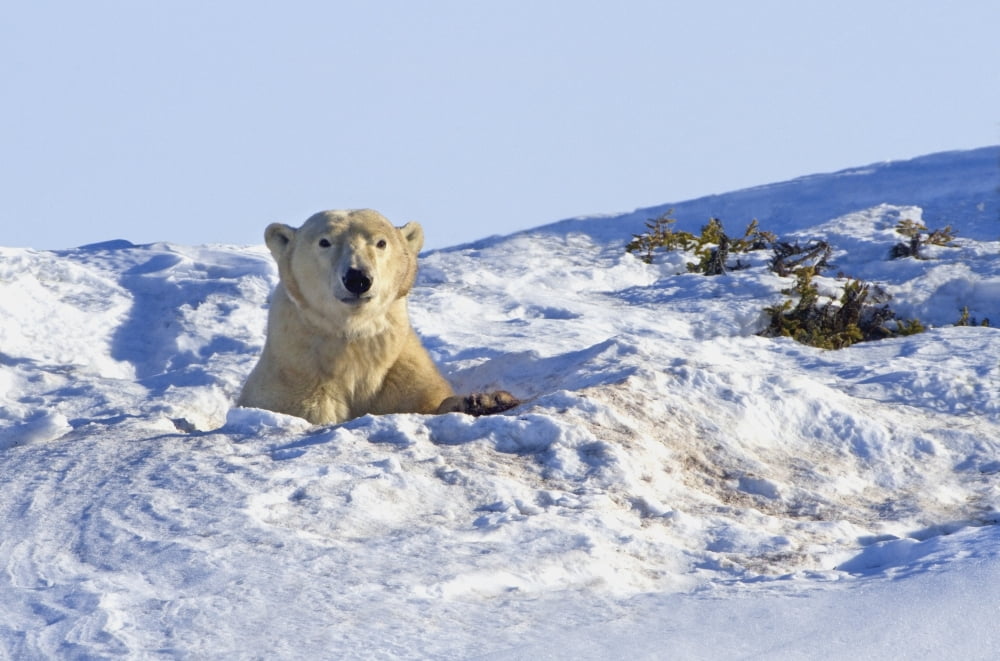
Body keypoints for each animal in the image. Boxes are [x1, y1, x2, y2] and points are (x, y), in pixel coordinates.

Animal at [237, 209, 519, 425]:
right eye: (324, 242)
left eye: (381, 242)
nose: (357, 278)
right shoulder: (293, 384)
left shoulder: (401, 372)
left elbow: (430, 402)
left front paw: (486, 401)